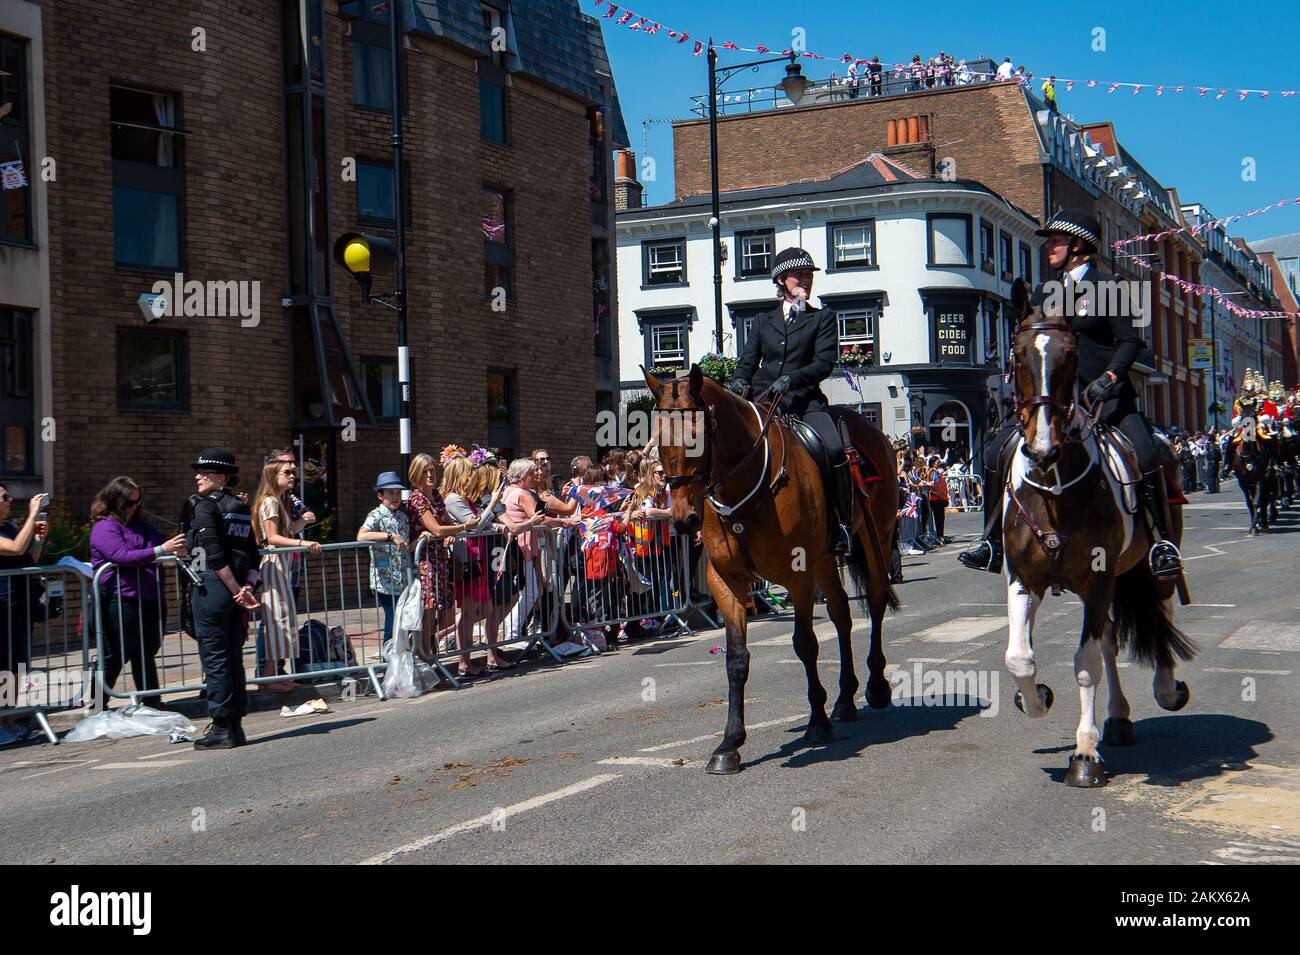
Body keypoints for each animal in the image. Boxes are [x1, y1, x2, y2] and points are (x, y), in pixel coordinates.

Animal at [644, 366, 899, 779]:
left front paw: (817, 722)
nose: (683, 520)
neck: (746, 483)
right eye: (659, 442)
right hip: (827, 560)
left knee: (875, 604)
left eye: (697, 437)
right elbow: (736, 658)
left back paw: (875, 686)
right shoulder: (726, 581)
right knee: (842, 616)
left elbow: (805, 644)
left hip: (876, 537)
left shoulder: (799, 575)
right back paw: (845, 698)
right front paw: (729, 744)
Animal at [993, 293, 1196, 789]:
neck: (1055, 486)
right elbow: (1019, 658)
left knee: (1159, 610)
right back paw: (1119, 717)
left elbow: (1085, 666)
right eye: (1017, 356)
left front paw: (1084, 756)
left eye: (1071, 356)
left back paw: (1167, 688)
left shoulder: (1097, 580)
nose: (1041, 447)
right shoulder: (1024, 578)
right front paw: (1036, 698)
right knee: (1108, 641)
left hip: (1149, 565)